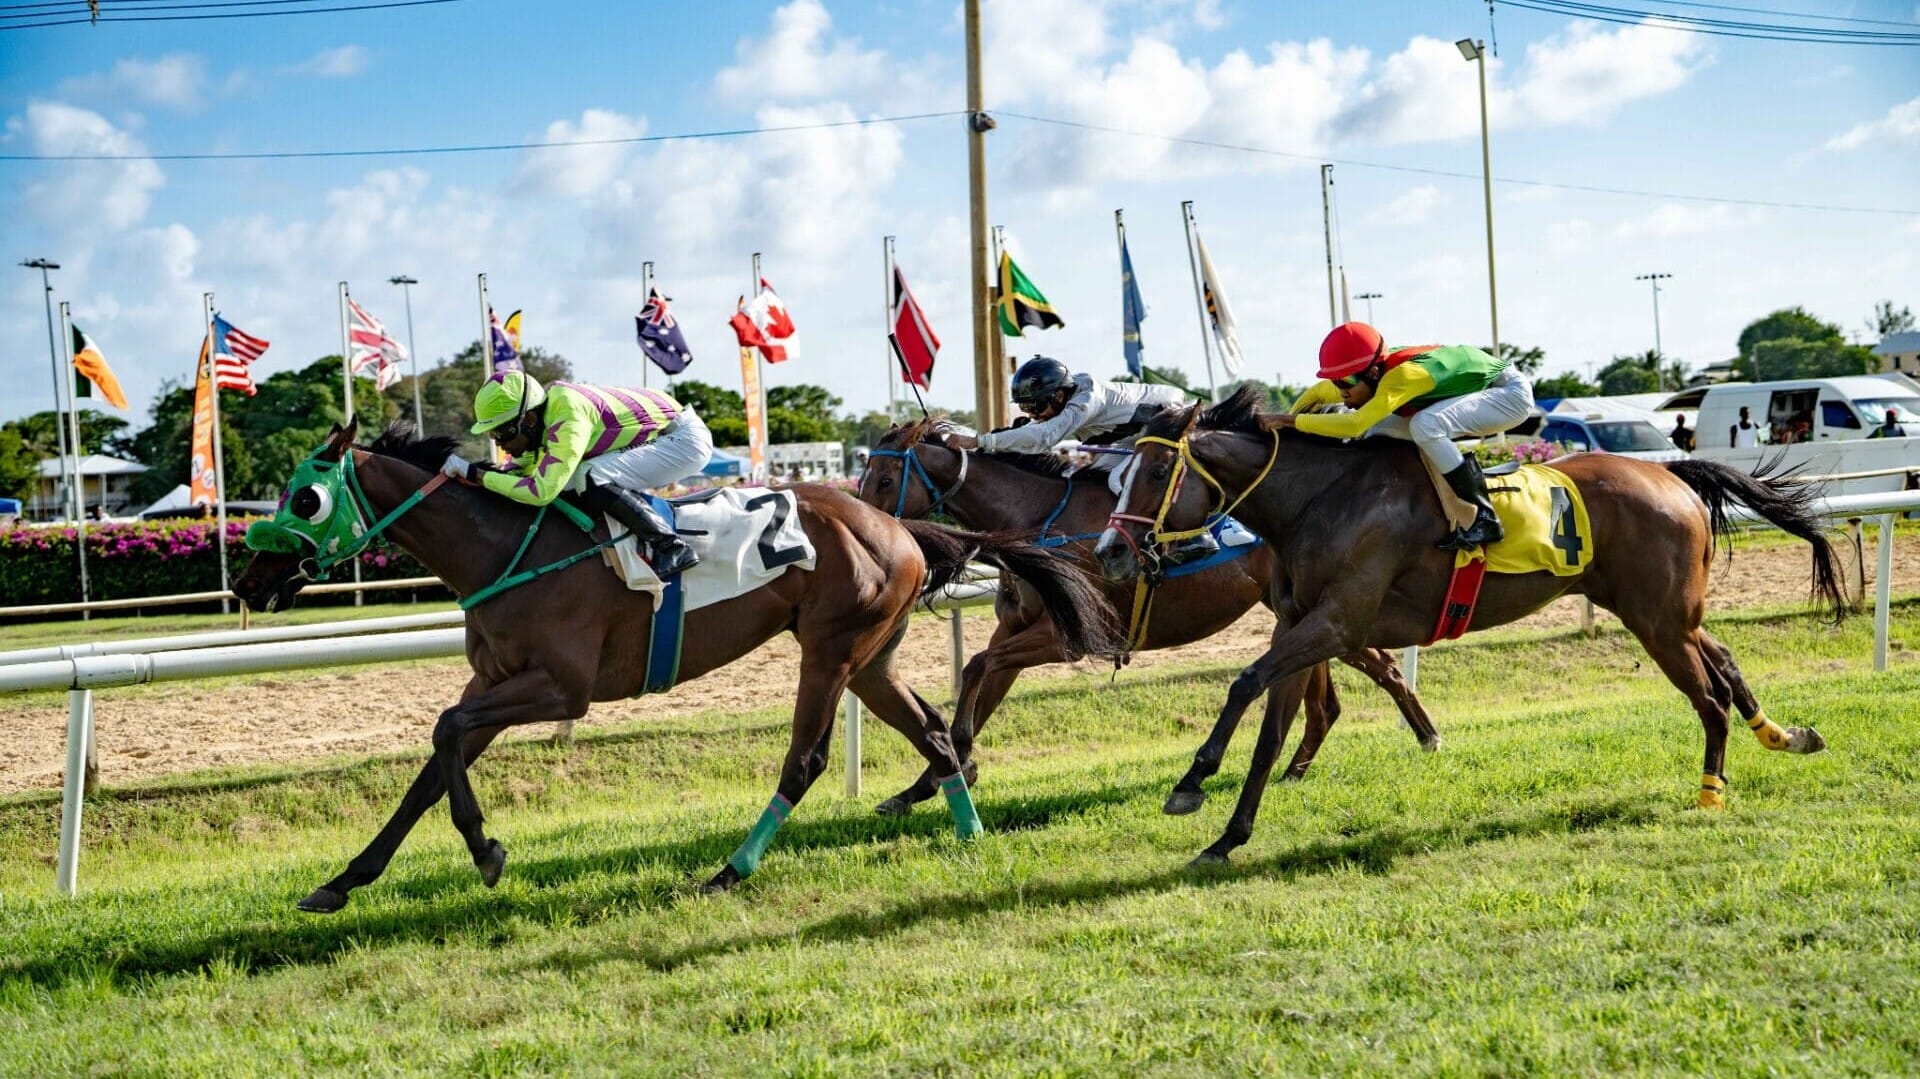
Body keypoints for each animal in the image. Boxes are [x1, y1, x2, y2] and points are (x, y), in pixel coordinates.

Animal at [233, 420, 1122, 911]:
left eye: (305, 497)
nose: (246, 579)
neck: (503, 545)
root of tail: (905, 527)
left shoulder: (561, 688)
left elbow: (446, 731)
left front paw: (486, 851)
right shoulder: (494, 681)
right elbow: (431, 763)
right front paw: (345, 879)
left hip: (830, 650)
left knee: (806, 759)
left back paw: (730, 870)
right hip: (871, 657)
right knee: (935, 733)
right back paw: (968, 834)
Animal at [856, 417, 1440, 815]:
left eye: (884, 479)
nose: (868, 532)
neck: (1039, 522)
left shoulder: (1070, 636)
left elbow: (977, 665)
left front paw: (957, 762)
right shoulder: (1017, 628)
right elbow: (984, 681)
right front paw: (924, 784)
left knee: (1380, 666)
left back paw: (1426, 736)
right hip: (1294, 607)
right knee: (1328, 690)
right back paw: (1302, 765)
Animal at [1093, 386, 1844, 865]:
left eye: (1156, 470)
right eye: (1118, 476)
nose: (1108, 552)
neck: (1320, 498)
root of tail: (1675, 476)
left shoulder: (1339, 625)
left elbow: (1243, 682)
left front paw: (1191, 783)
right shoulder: (1299, 629)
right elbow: (1270, 733)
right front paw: (1227, 839)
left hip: (1656, 620)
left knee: (1708, 697)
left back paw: (1711, 791)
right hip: (1668, 614)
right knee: (1724, 659)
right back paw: (1784, 735)